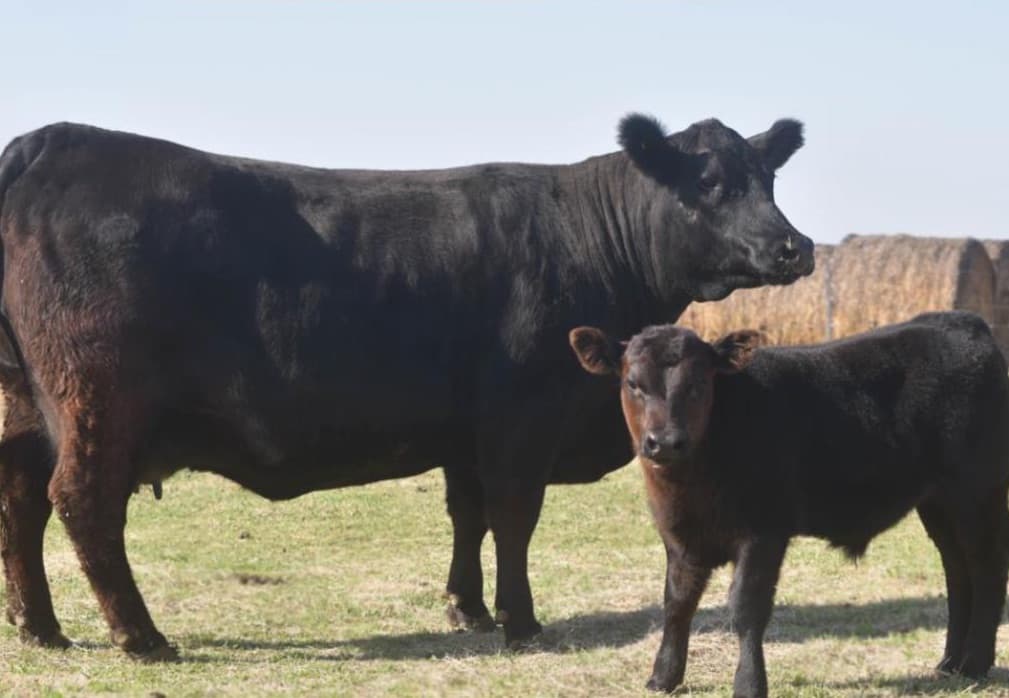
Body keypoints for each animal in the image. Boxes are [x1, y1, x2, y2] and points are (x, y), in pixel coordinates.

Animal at [0, 113, 812, 659]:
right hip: (96, 402)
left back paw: (41, 629)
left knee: (21, 503)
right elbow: (514, 515)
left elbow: (468, 515)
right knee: (82, 502)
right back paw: (141, 637)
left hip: (26, 408)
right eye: (708, 183)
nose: (792, 246)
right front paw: (519, 622)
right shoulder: (524, 414)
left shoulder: (467, 429)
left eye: (768, 179)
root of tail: (51, 141)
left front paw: (468, 610)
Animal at [570, 313, 1009, 697]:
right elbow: (677, 602)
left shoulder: (763, 532)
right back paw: (949, 662)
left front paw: (749, 684)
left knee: (986, 570)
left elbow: (746, 608)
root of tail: (965, 322)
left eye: (698, 382)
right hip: (938, 503)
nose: (665, 442)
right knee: (957, 572)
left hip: (977, 492)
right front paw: (663, 677)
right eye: (632, 383)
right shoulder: (679, 536)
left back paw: (974, 663)